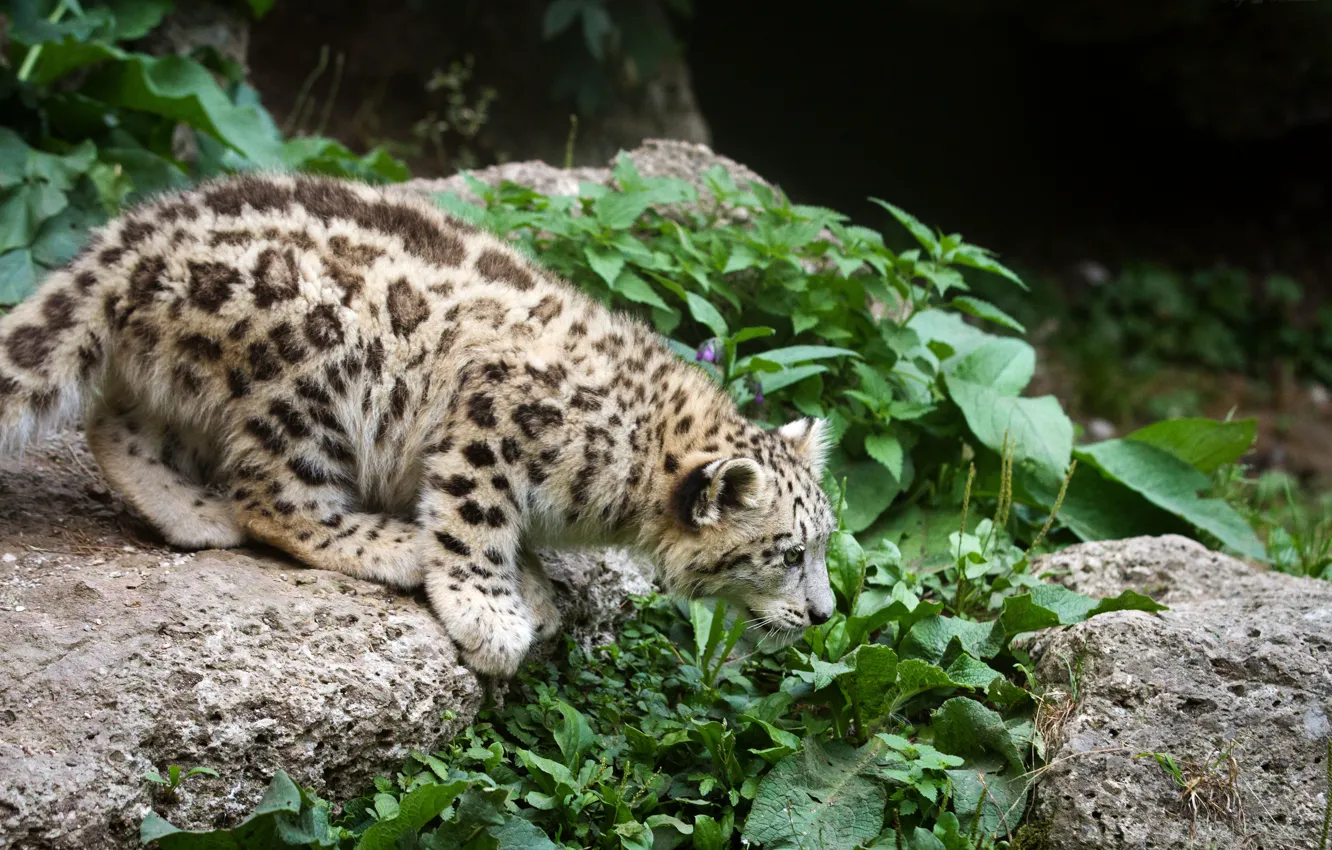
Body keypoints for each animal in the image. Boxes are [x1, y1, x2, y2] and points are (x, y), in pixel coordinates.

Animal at [0, 172, 837, 676]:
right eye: (789, 553)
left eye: (827, 544)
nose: (825, 614)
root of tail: (129, 238)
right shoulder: (494, 414)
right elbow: (475, 518)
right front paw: (492, 614)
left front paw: (533, 584)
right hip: (313, 375)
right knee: (276, 497)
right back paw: (393, 544)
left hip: (175, 380)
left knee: (116, 425)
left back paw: (191, 511)